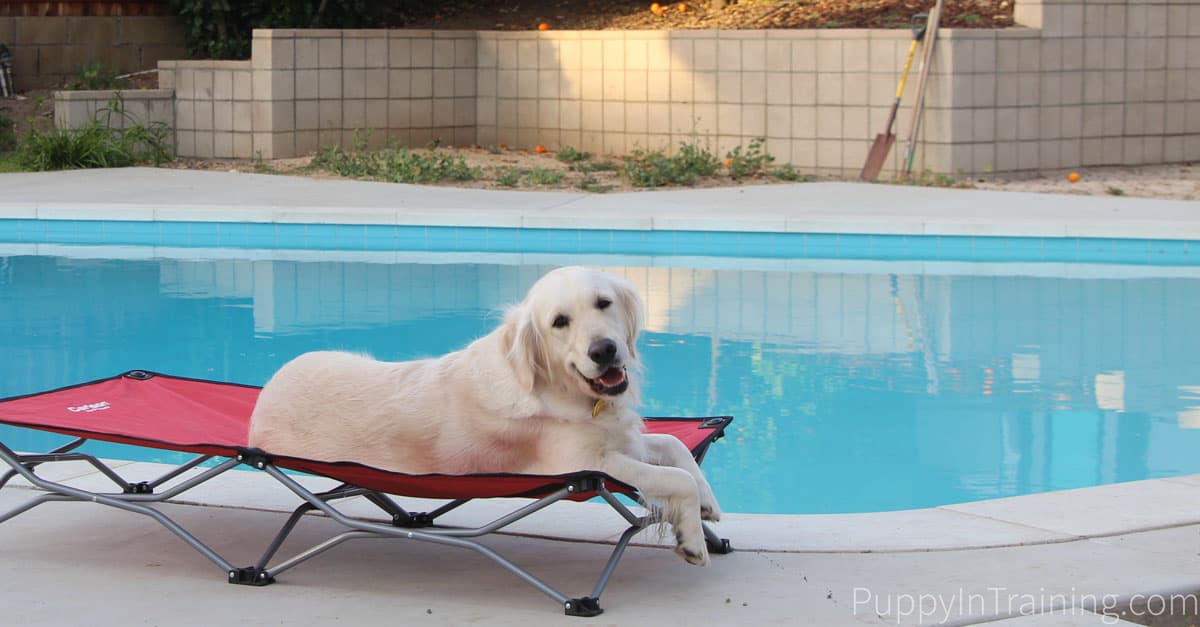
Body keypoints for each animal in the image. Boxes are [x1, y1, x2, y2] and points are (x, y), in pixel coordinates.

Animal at [246, 263, 720, 562]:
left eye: (603, 303)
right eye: (559, 322)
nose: (604, 351)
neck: (561, 388)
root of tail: (266, 393)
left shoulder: (624, 439)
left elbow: (676, 446)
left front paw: (708, 503)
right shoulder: (584, 463)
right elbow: (674, 478)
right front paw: (692, 539)